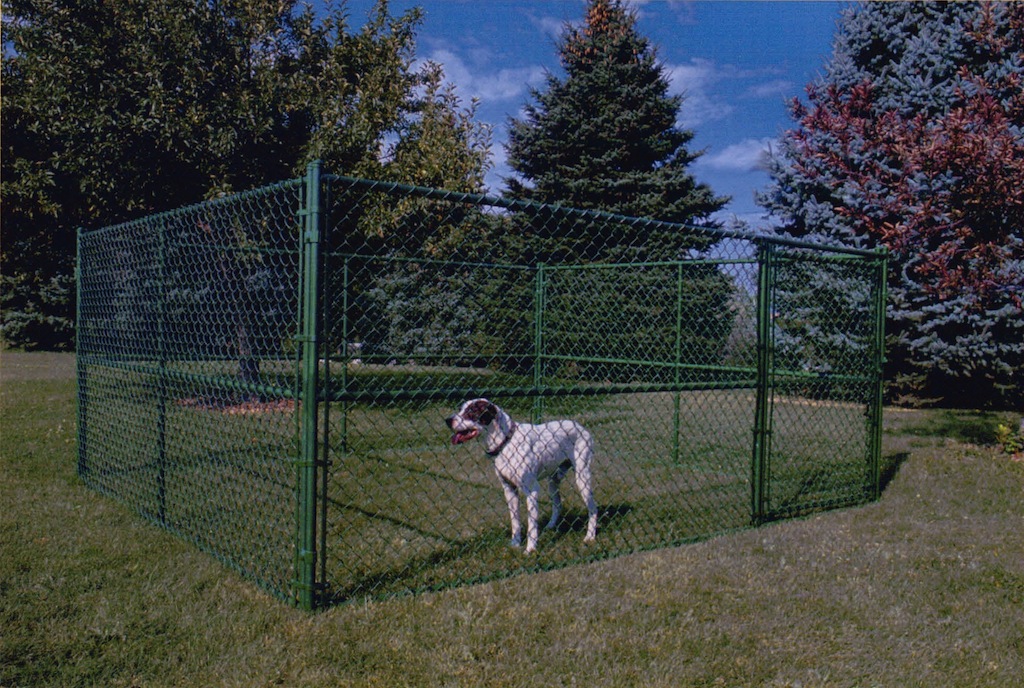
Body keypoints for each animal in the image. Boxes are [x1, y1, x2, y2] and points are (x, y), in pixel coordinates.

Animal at [444, 397, 598, 552]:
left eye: (472, 411)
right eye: (460, 409)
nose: (447, 420)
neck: (506, 442)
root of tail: (581, 427)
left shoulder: (532, 491)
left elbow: (532, 526)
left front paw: (530, 549)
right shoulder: (509, 490)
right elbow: (515, 522)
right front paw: (515, 543)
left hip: (582, 479)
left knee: (593, 508)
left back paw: (590, 536)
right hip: (553, 482)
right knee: (558, 505)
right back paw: (550, 526)